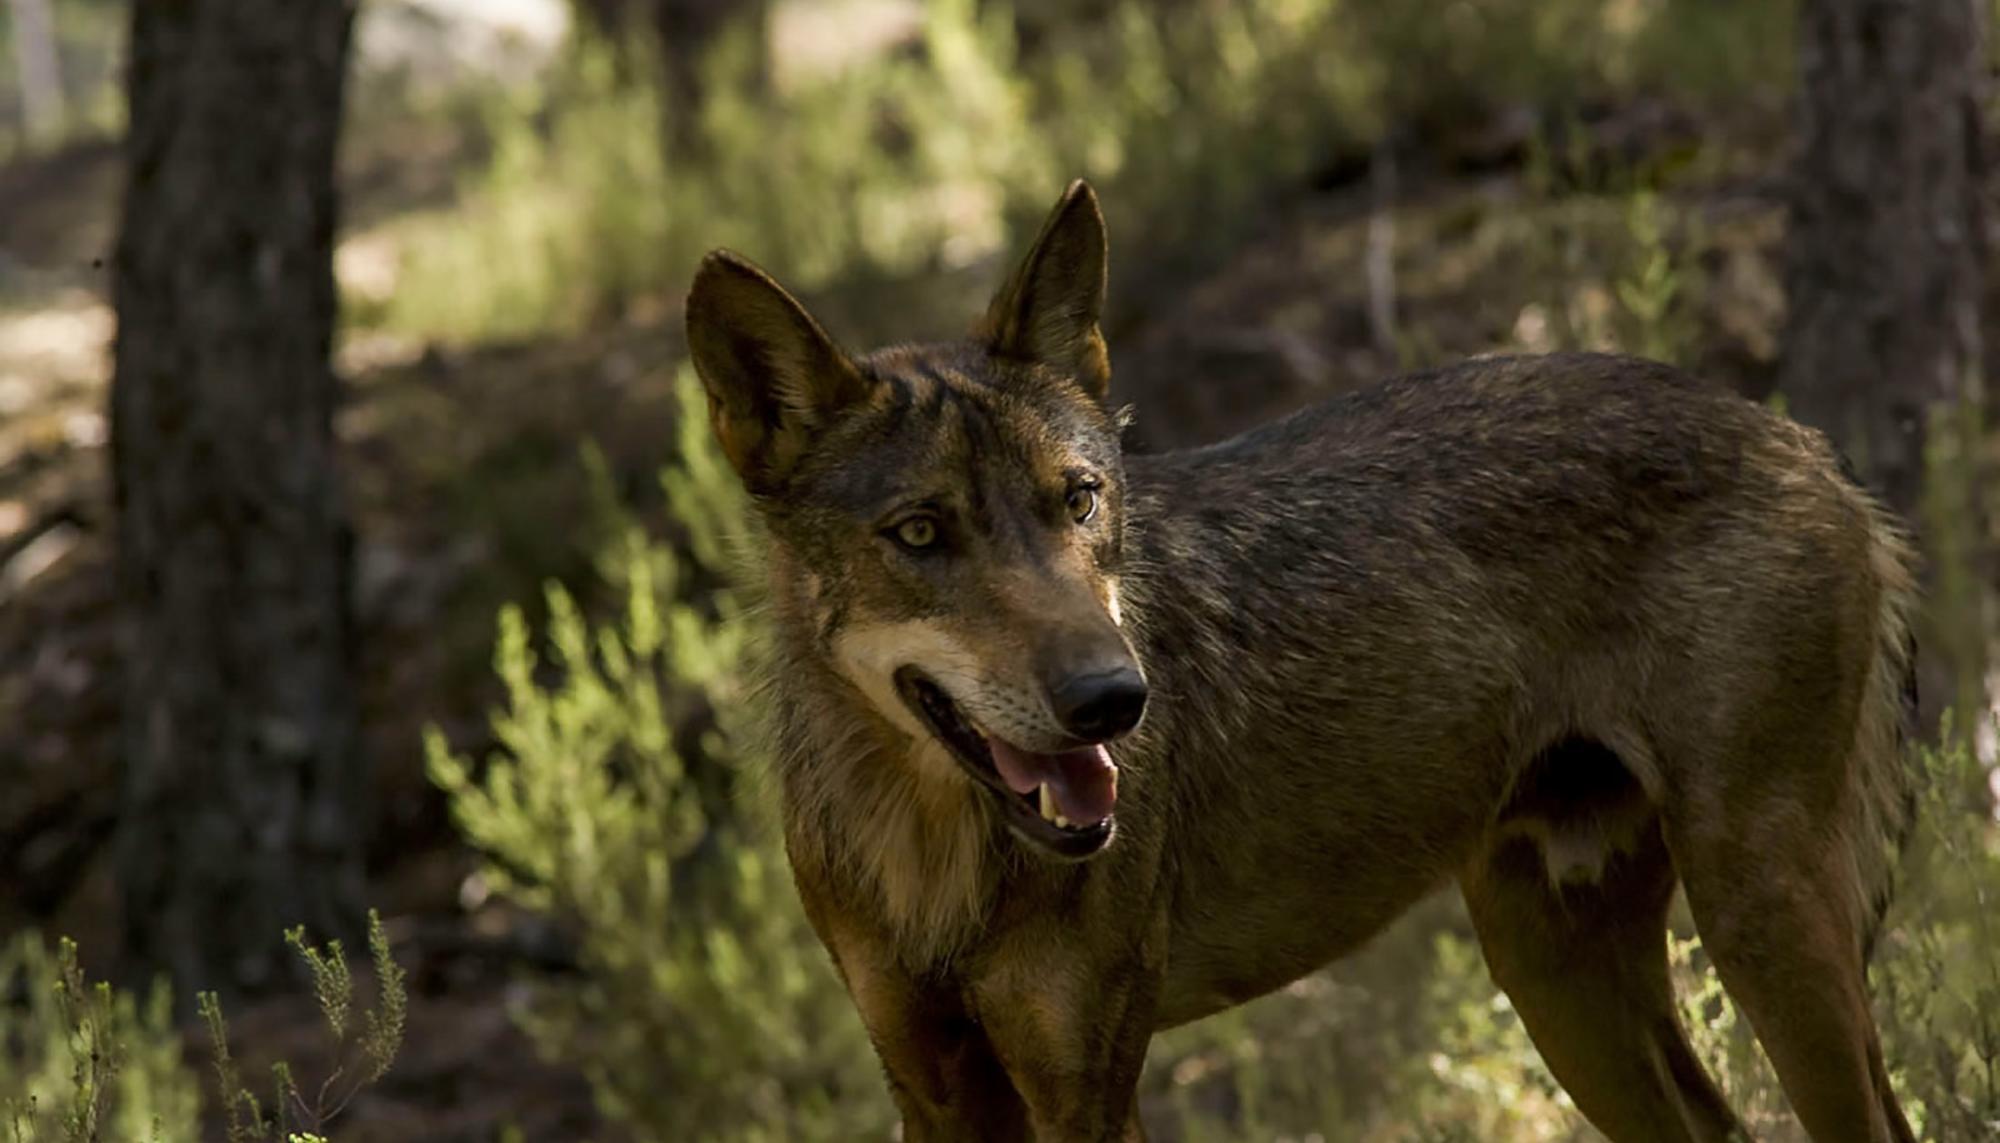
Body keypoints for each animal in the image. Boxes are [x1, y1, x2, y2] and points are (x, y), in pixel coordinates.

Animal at [685, 180, 1921, 1142]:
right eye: (919, 534)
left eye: (1077, 499)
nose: (1113, 701)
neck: (929, 851)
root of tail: (1796, 435)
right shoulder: (935, 1092)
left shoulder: (1088, 1091)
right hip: (1553, 974)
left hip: (1752, 920)